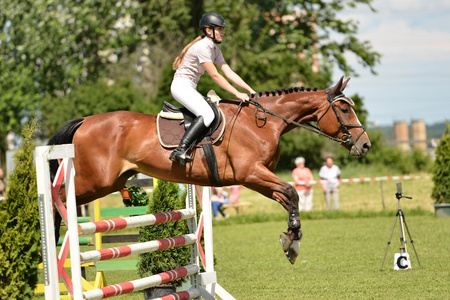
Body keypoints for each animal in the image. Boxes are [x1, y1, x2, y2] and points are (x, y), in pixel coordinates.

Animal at [48, 77, 370, 264]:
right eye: (344, 109)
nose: (364, 145)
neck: (263, 122)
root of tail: (85, 121)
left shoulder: (253, 178)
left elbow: (289, 197)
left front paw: (292, 239)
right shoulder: (251, 173)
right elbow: (292, 190)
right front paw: (292, 238)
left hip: (111, 181)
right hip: (95, 181)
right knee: (58, 198)